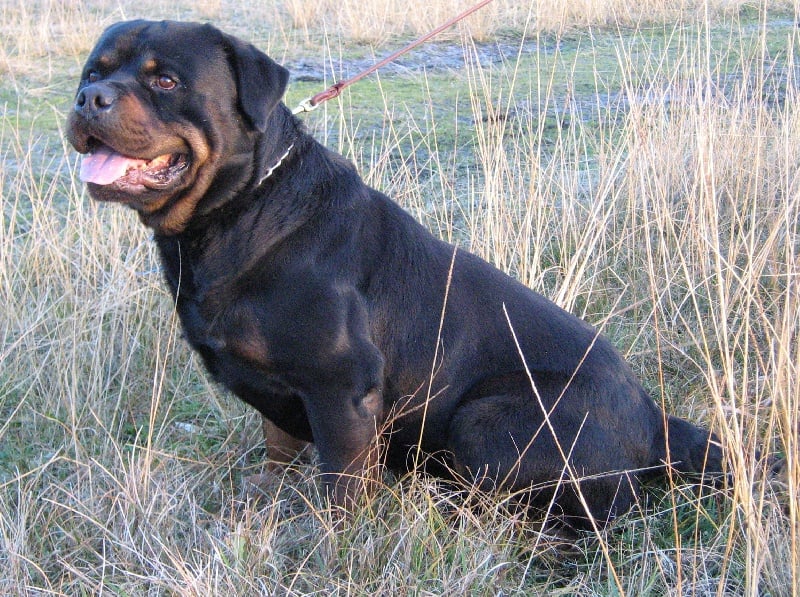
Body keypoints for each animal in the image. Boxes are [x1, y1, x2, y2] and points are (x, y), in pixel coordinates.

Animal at [67, 20, 724, 528]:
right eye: (93, 72)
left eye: (165, 80)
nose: (90, 99)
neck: (239, 210)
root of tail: (656, 420)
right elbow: (278, 446)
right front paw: (270, 497)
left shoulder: (342, 387)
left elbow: (342, 487)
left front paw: (335, 544)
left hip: (488, 419)